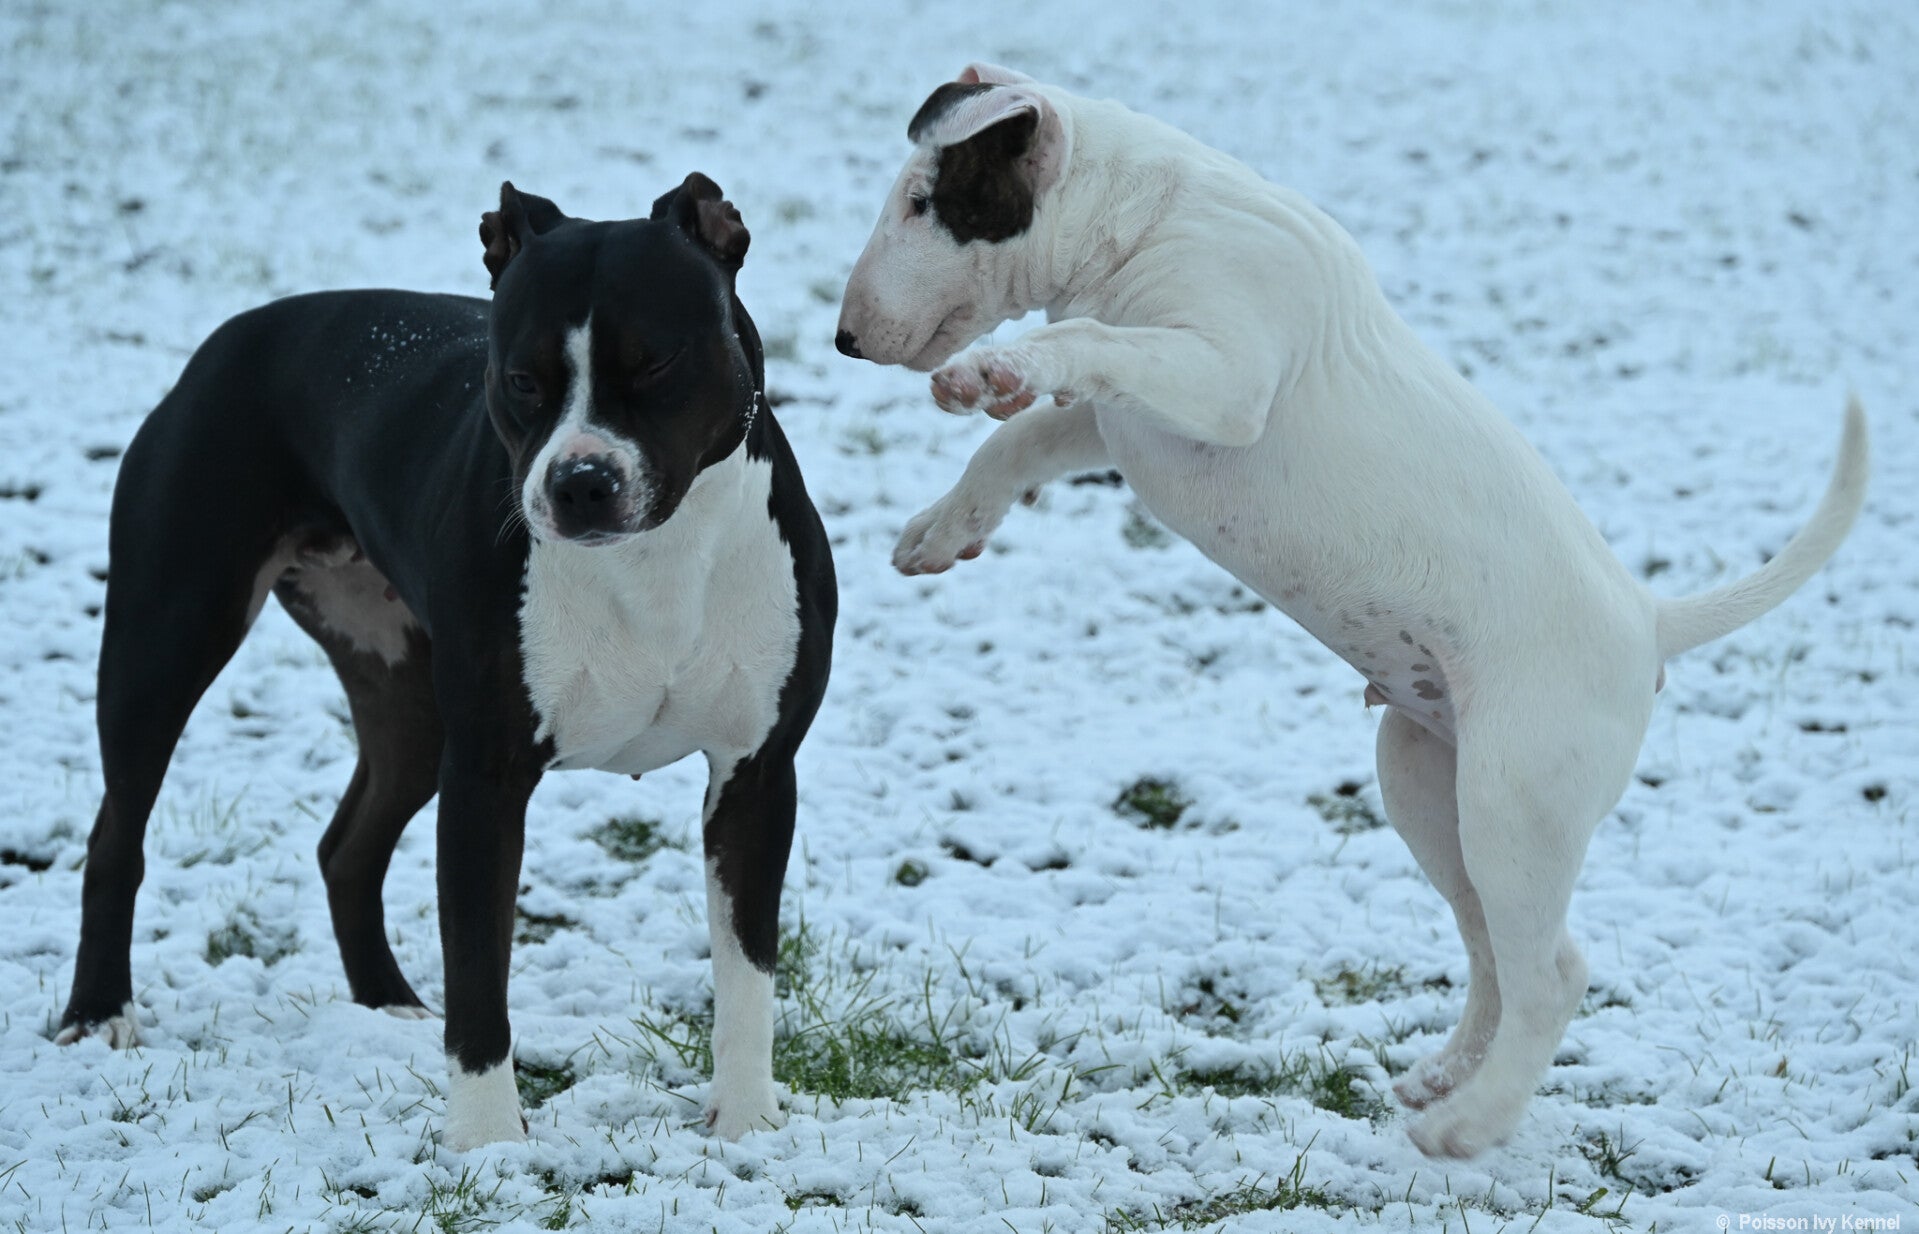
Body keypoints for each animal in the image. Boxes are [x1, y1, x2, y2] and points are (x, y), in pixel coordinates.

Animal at [55, 173, 835, 1151]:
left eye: (654, 365)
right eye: (521, 380)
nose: (580, 482)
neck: (655, 558)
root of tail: (233, 336)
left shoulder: (755, 773)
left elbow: (746, 966)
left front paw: (745, 1122)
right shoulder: (486, 778)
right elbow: (477, 971)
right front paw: (489, 1143)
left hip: (407, 702)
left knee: (346, 846)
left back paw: (386, 1003)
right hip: (165, 641)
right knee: (115, 832)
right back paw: (98, 1012)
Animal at [836, 64, 1868, 1158]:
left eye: (924, 201)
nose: (843, 338)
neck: (1143, 220)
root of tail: (1647, 619)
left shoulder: (1224, 378)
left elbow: (1077, 344)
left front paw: (996, 370)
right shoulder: (1126, 419)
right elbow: (1023, 440)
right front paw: (941, 528)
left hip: (1516, 794)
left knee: (1551, 973)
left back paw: (1469, 1125)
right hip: (1424, 779)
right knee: (1496, 943)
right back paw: (1446, 1077)